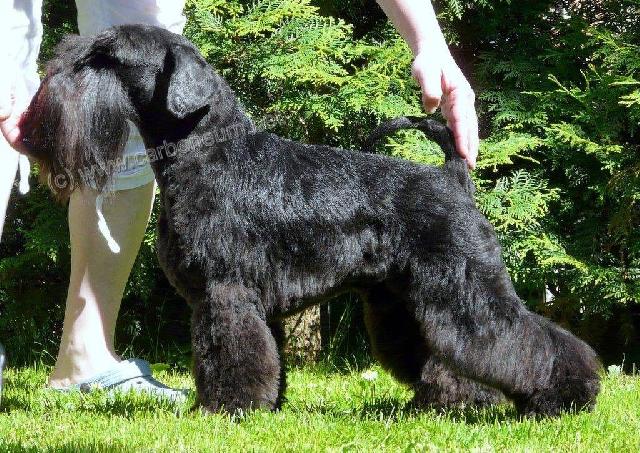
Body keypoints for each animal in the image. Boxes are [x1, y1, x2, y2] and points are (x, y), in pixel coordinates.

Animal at [19, 25, 601, 416]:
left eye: (105, 57)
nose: (41, 96)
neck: (208, 149)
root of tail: (452, 176)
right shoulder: (248, 298)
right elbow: (265, 354)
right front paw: (264, 405)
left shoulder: (224, 292)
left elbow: (228, 354)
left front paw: (226, 409)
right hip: (403, 301)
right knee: (450, 353)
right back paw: (459, 403)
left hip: (464, 289)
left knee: (521, 339)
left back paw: (565, 395)